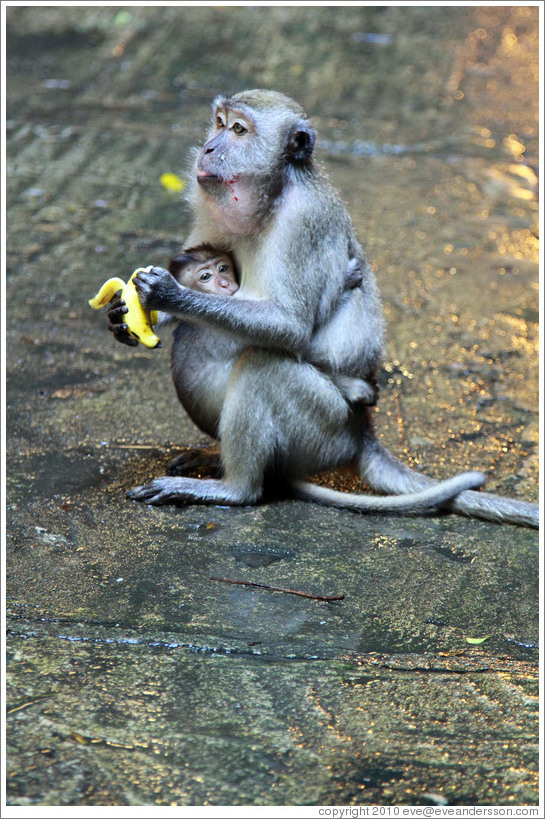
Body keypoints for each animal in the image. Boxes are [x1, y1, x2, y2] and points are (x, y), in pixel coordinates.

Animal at [170, 245, 378, 408]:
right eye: (205, 276)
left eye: (223, 268)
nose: (224, 283)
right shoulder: (219, 333)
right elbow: (293, 336)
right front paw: (347, 279)